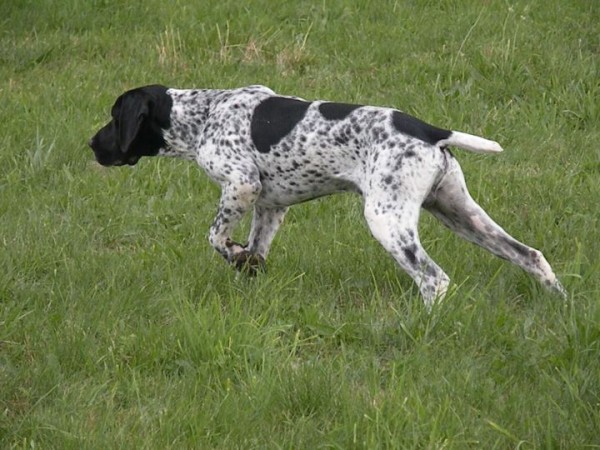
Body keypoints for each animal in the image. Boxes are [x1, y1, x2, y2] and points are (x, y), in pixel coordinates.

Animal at [89, 84, 568, 306]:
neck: (204, 114)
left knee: (434, 279)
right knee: (531, 256)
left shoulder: (241, 185)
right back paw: (562, 305)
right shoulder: (270, 206)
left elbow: (216, 238)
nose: (92, 145)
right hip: (460, 215)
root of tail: (430, 130)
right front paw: (247, 271)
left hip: (388, 221)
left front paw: (232, 253)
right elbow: (254, 255)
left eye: (114, 118)